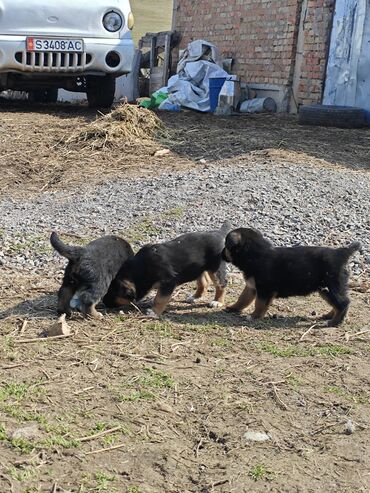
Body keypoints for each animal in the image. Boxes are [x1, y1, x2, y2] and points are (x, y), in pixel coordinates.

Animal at [103, 222, 231, 318]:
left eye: (112, 293)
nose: (104, 302)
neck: (142, 268)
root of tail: (219, 233)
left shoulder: (168, 282)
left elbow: (160, 298)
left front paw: (154, 312)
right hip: (199, 268)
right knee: (203, 282)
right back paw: (195, 297)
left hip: (216, 268)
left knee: (222, 284)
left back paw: (218, 301)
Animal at [223, 228, 362, 326]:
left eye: (226, 246)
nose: (220, 253)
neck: (254, 254)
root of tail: (342, 253)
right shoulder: (251, 287)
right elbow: (242, 299)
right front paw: (233, 308)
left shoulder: (264, 290)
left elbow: (259, 304)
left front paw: (254, 316)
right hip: (325, 289)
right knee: (336, 304)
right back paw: (328, 316)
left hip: (332, 286)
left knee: (343, 303)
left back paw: (334, 322)